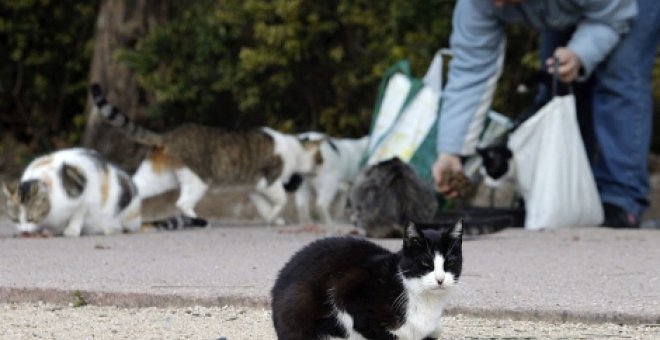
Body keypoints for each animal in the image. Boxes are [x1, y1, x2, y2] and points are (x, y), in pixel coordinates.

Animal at [1, 147, 206, 238]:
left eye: (31, 217)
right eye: (15, 219)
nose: (24, 230)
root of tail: (138, 219)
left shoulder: (86, 196)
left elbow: (78, 213)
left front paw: (71, 230)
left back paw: (110, 229)